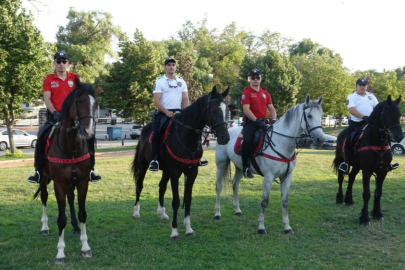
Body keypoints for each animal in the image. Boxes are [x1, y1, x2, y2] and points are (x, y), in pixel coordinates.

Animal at [32, 83, 96, 264]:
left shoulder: (82, 182)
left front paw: (85, 247)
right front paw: (60, 253)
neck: (71, 147)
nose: (88, 131)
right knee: (44, 198)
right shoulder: (59, 183)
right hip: (44, 179)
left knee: (71, 200)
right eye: (80, 101)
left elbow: (82, 213)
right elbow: (61, 219)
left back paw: (74, 227)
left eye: (95, 104)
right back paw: (44, 227)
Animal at [131, 85, 229, 239]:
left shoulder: (192, 172)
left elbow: (187, 199)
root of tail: (145, 128)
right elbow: (176, 201)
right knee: (139, 185)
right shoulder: (176, 173)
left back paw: (162, 213)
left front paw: (188, 228)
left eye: (227, 111)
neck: (186, 137)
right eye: (214, 111)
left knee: (161, 187)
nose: (225, 137)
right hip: (143, 165)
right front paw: (174, 231)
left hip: (166, 170)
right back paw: (136, 212)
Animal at [213, 95, 324, 234]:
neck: (281, 143)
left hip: (240, 167)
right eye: (309, 115)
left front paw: (287, 227)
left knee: (235, 185)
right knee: (218, 187)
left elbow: (285, 201)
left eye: (321, 115)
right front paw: (261, 227)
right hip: (221, 164)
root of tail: (227, 131)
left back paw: (237, 209)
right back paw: (217, 213)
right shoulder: (268, 177)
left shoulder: (287, 177)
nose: (320, 139)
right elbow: (264, 201)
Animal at [332, 95, 400, 226]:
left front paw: (377, 213)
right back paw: (339, 198)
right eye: (387, 114)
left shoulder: (382, 171)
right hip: (342, 161)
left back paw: (349, 200)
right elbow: (367, 194)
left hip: (357, 166)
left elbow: (379, 193)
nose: (399, 136)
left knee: (351, 178)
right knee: (341, 178)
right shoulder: (367, 170)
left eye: (399, 114)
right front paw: (364, 218)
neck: (377, 142)